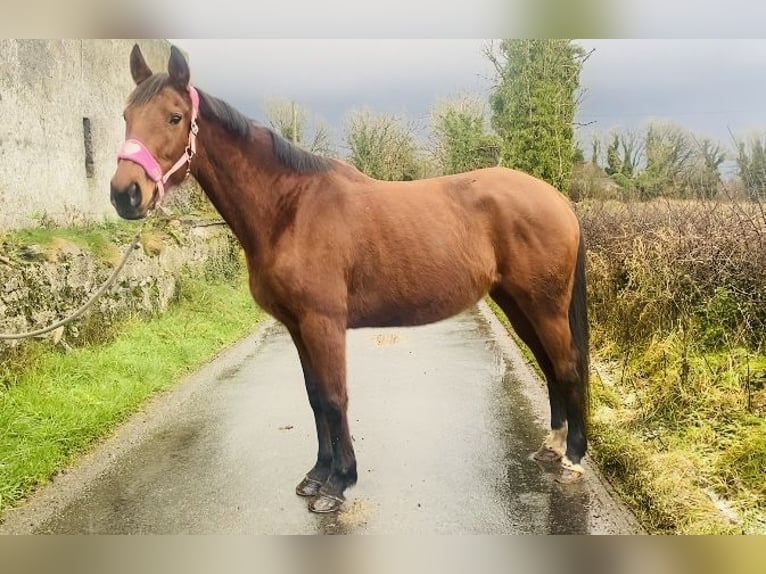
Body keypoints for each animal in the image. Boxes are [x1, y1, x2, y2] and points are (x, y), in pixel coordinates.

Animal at [109, 42, 588, 516]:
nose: (125, 193)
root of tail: (559, 200)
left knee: (566, 366)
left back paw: (573, 458)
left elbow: (335, 397)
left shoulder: (323, 323)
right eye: (126, 115)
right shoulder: (297, 326)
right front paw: (316, 476)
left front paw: (338, 485)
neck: (291, 209)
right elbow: (315, 396)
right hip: (517, 304)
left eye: (174, 116)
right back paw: (553, 446)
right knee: (550, 366)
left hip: (544, 306)